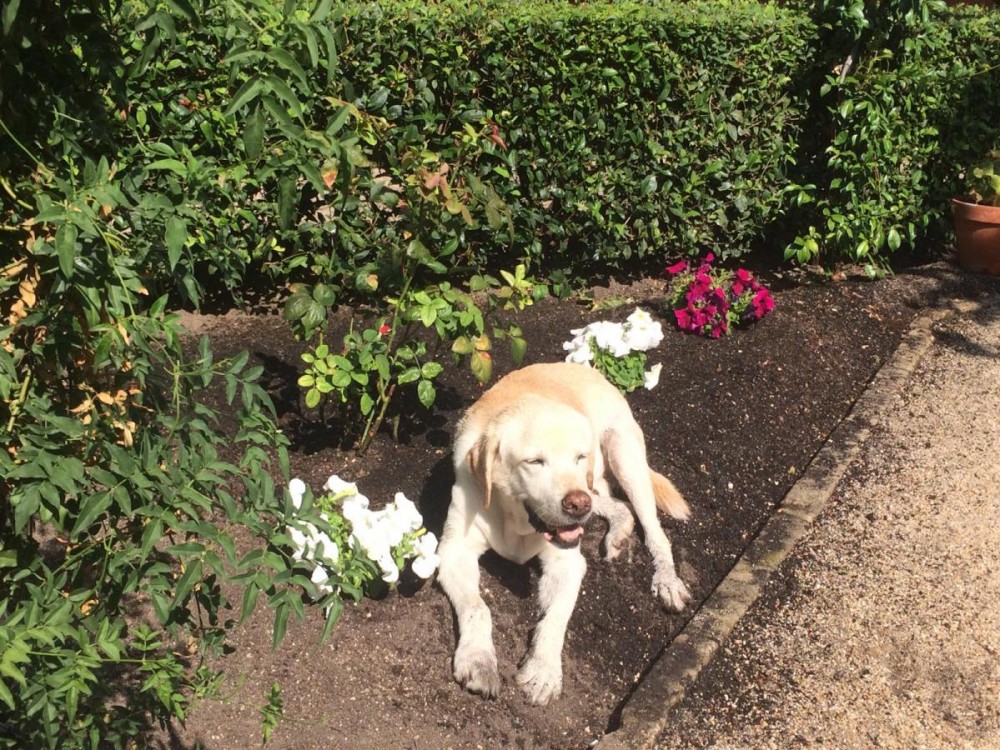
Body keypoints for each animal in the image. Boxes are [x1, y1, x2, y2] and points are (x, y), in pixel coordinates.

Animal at [436, 361, 691, 705]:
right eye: (534, 462)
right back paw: (618, 532)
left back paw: (667, 580)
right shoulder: (453, 552)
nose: (576, 504)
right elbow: (478, 608)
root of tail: (585, 369)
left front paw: (544, 670)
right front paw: (478, 660)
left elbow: (556, 618)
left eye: (578, 456)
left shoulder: (568, 563)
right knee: (617, 505)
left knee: (654, 530)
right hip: (598, 481)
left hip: (621, 456)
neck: (516, 520)